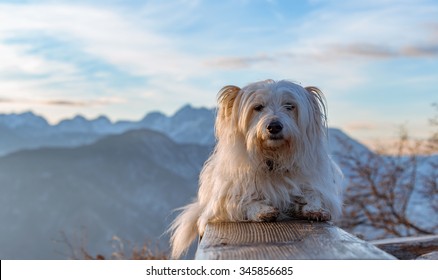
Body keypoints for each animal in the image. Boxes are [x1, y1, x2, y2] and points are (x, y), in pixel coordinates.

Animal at [168, 79, 342, 258]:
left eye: (289, 106)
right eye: (258, 107)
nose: (274, 126)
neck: (273, 158)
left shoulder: (313, 184)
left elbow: (313, 196)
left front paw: (314, 209)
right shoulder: (223, 203)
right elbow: (244, 202)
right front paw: (262, 210)